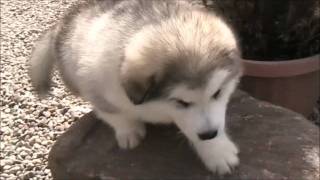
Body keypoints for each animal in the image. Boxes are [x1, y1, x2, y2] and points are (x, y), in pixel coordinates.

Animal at [30, 0, 242, 175]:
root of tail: (63, 21)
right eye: (181, 102)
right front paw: (129, 131)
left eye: (218, 93)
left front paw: (217, 150)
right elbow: (115, 115)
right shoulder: (98, 89)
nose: (209, 135)